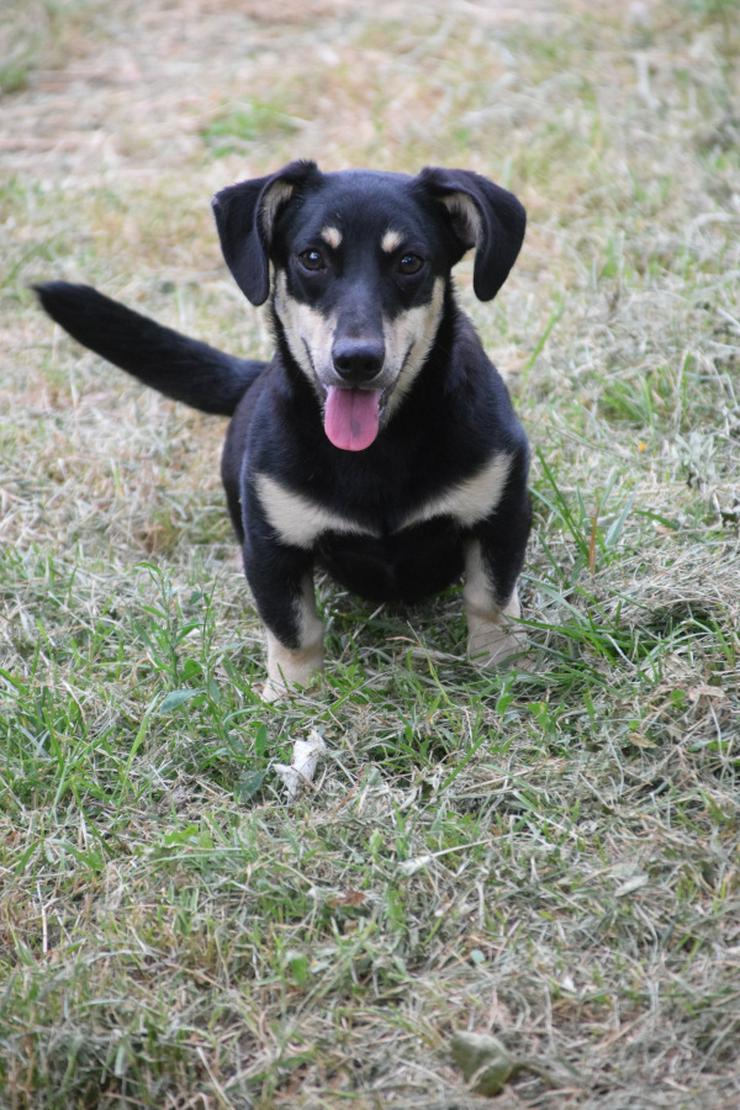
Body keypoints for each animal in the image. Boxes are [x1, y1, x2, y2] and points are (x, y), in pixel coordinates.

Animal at [36, 162, 532, 701]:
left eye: (409, 261)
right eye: (312, 258)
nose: (357, 361)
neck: (378, 448)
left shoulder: (501, 515)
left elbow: (489, 597)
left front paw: (504, 666)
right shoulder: (271, 547)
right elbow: (293, 628)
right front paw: (292, 697)